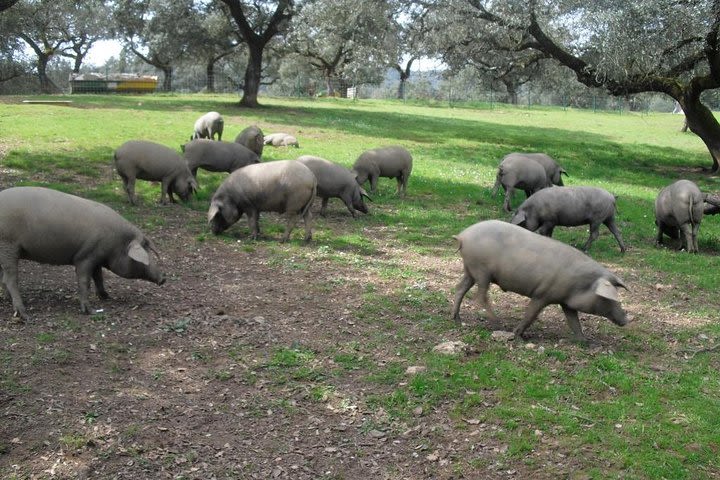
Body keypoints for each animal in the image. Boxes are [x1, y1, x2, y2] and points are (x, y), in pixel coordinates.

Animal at [0, 186, 166, 320]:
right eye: (145, 251)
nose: (164, 278)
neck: (117, 243)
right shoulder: (85, 257)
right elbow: (85, 281)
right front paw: (90, 311)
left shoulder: (97, 258)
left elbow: (99, 277)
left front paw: (106, 297)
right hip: (8, 246)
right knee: (10, 279)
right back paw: (25, 315)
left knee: (4, 279)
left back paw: (8, 300)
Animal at [452, 219, 628, 344]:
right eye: (610, 297)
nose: (626, 319)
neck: (580, 284)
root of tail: (462, 236)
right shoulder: (543, 294)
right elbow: (531, 315)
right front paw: (517, 335)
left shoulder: (566, 302)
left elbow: (574, 322)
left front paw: (586, 342)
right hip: (481, 270)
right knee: (480, 296)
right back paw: (498, 324)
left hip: (470, 269)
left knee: (460, 289)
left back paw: (457, 320)